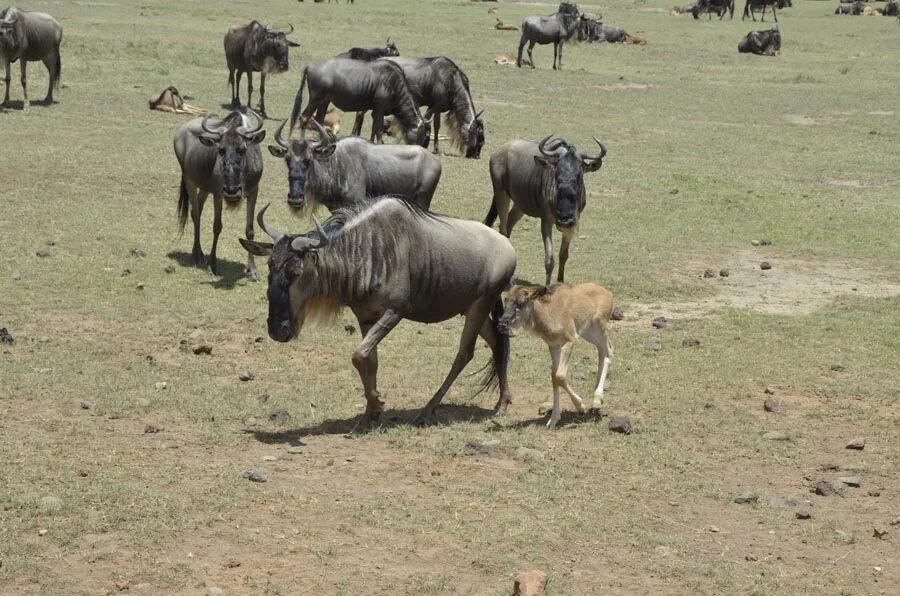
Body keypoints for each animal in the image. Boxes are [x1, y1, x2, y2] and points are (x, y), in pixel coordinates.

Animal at [496, 282, 616, 428]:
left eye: (521, 302)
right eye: (506, 300)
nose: (502, 324)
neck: (549, 313)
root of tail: (608, 292)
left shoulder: (570, 340)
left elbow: (559, 376)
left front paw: (581, 407)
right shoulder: (554, 346)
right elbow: (554, 377)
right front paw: (553, 419)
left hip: (599, 324)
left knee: (609, 351)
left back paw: (597, 400)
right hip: (588, 332)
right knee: (601, 350)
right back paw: (597, 399)